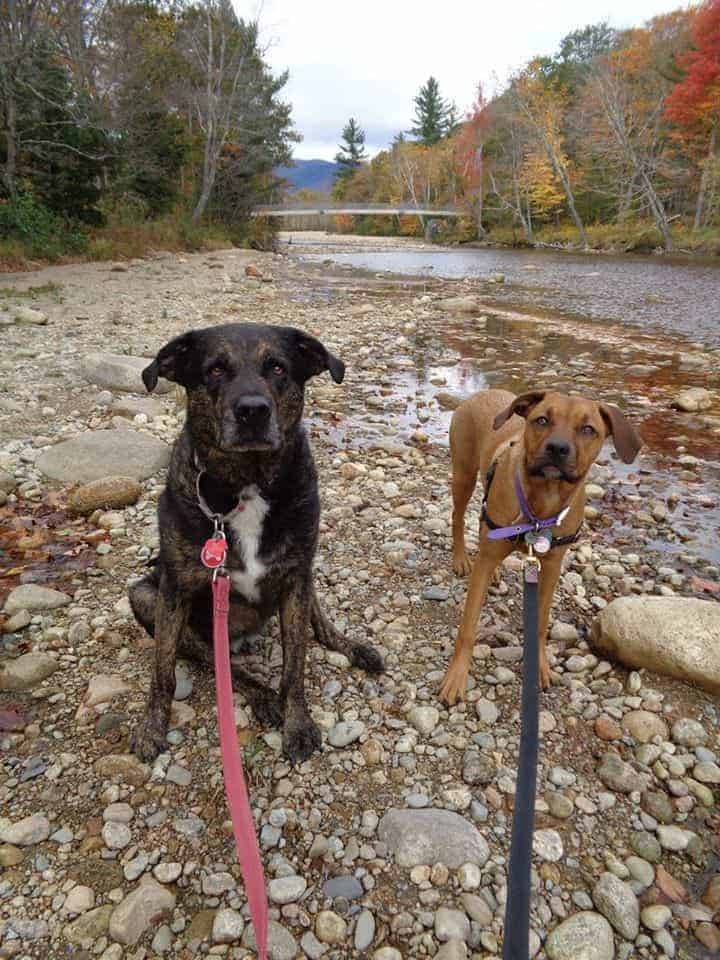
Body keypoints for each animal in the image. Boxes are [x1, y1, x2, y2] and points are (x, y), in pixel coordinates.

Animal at [131, 322, 386, 764]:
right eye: (215, 369)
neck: (246, 485)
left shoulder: (296, 580)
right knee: (216, 661)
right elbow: (162, 672)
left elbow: (295, 665)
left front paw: (297, 723)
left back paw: (348, 646)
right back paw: (259, 691)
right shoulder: (174, 590)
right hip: (144, 595)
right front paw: (152, 727)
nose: (253, 410)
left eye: (278, 367)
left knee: (319, 621)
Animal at [438, 390, 640, 704]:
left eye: (588, 429)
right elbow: (468, 626)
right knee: (458, 518)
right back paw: (460, 558)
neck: (542, 503)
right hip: (463, 475)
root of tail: (481, 393)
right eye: (542, 420)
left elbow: (541, 624)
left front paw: (540, 667)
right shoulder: (486, 561)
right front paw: (456, 677)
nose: (557, 448)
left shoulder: (551, 568)